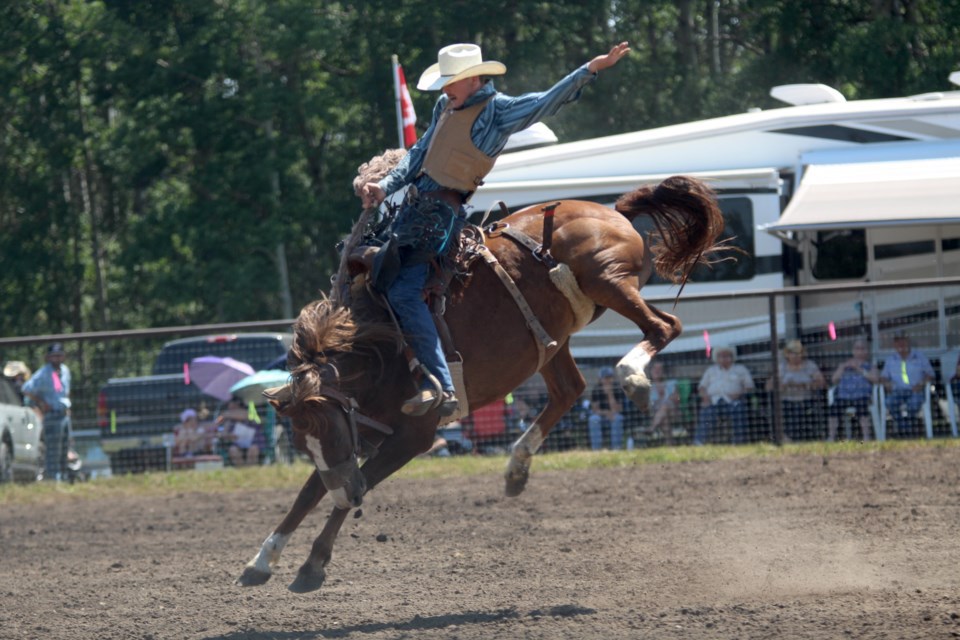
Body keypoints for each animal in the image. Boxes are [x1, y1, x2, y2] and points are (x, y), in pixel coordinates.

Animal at [238, 174, 720, 592]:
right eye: (301, 443)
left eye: (332, 433)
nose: (350, 495)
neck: (382, 345)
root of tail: (612, 210)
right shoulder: (362, 432)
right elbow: (311, 489)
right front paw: (261, 560)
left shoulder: (412, 436)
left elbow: (349, 486)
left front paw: (312, 565)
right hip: (553, 340)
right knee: (570, 389)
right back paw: (516, 468)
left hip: (608, 280)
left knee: (664, 327)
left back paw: (633, 377)